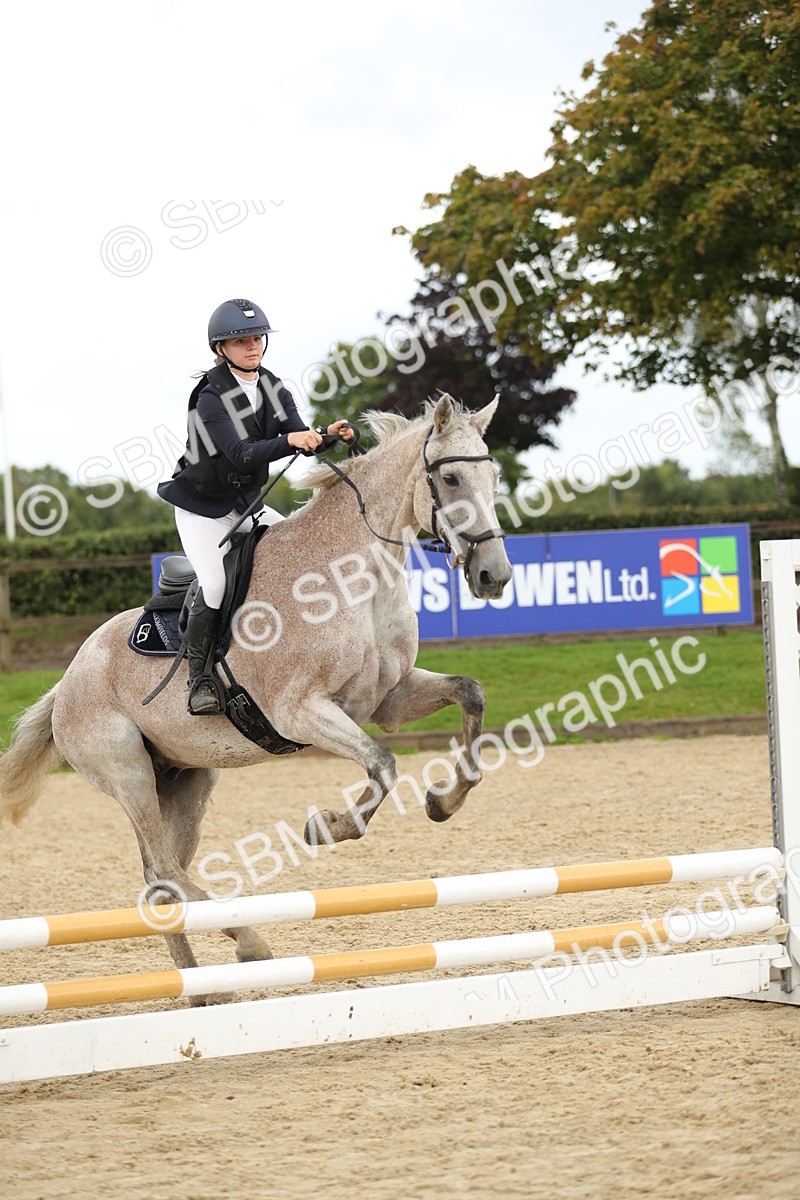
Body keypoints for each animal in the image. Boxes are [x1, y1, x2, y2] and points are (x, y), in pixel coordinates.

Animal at [0, 395, 512, 987]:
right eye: (450, 478)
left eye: (494, 476)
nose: (494, 576)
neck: (354, 578)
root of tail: (65, 683)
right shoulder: (299, 711)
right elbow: (383, 764)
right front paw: (327, 827)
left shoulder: (388, 698)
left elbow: (470, 694)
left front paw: (444, 801)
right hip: (128, 774)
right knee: (165, 870)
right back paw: (250, 943)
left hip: (187, 778)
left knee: (160, 879)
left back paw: (200, 988)